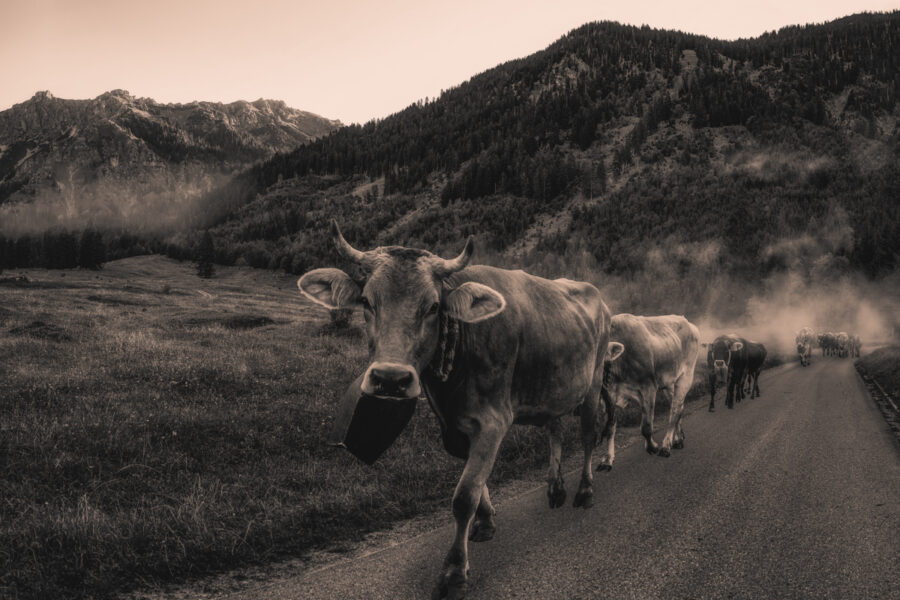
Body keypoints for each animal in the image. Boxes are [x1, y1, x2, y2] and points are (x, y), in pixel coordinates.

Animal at [298, 221, 624, 600]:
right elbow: (476, 478)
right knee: (555, 432)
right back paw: (555, 489)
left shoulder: (493, 421)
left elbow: (464, 495)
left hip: (593, 384)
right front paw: (485, 522)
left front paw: (454, 570)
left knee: (587, 436)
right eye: (366, 301)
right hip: (553, 392)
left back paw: (584, 492)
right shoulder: (453, 425)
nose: (390, 379)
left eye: (433, 307)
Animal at [596, 314, 704, 464]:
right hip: (668, 383)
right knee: (678, 407)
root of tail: (688, 322)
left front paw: (652, 446)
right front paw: (607, 459)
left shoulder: (649, 387)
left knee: (675, 410)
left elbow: (646, 426)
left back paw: (666, 446)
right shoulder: (610, 396)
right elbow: (611, 427)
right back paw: (678, 439)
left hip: (685, 376)